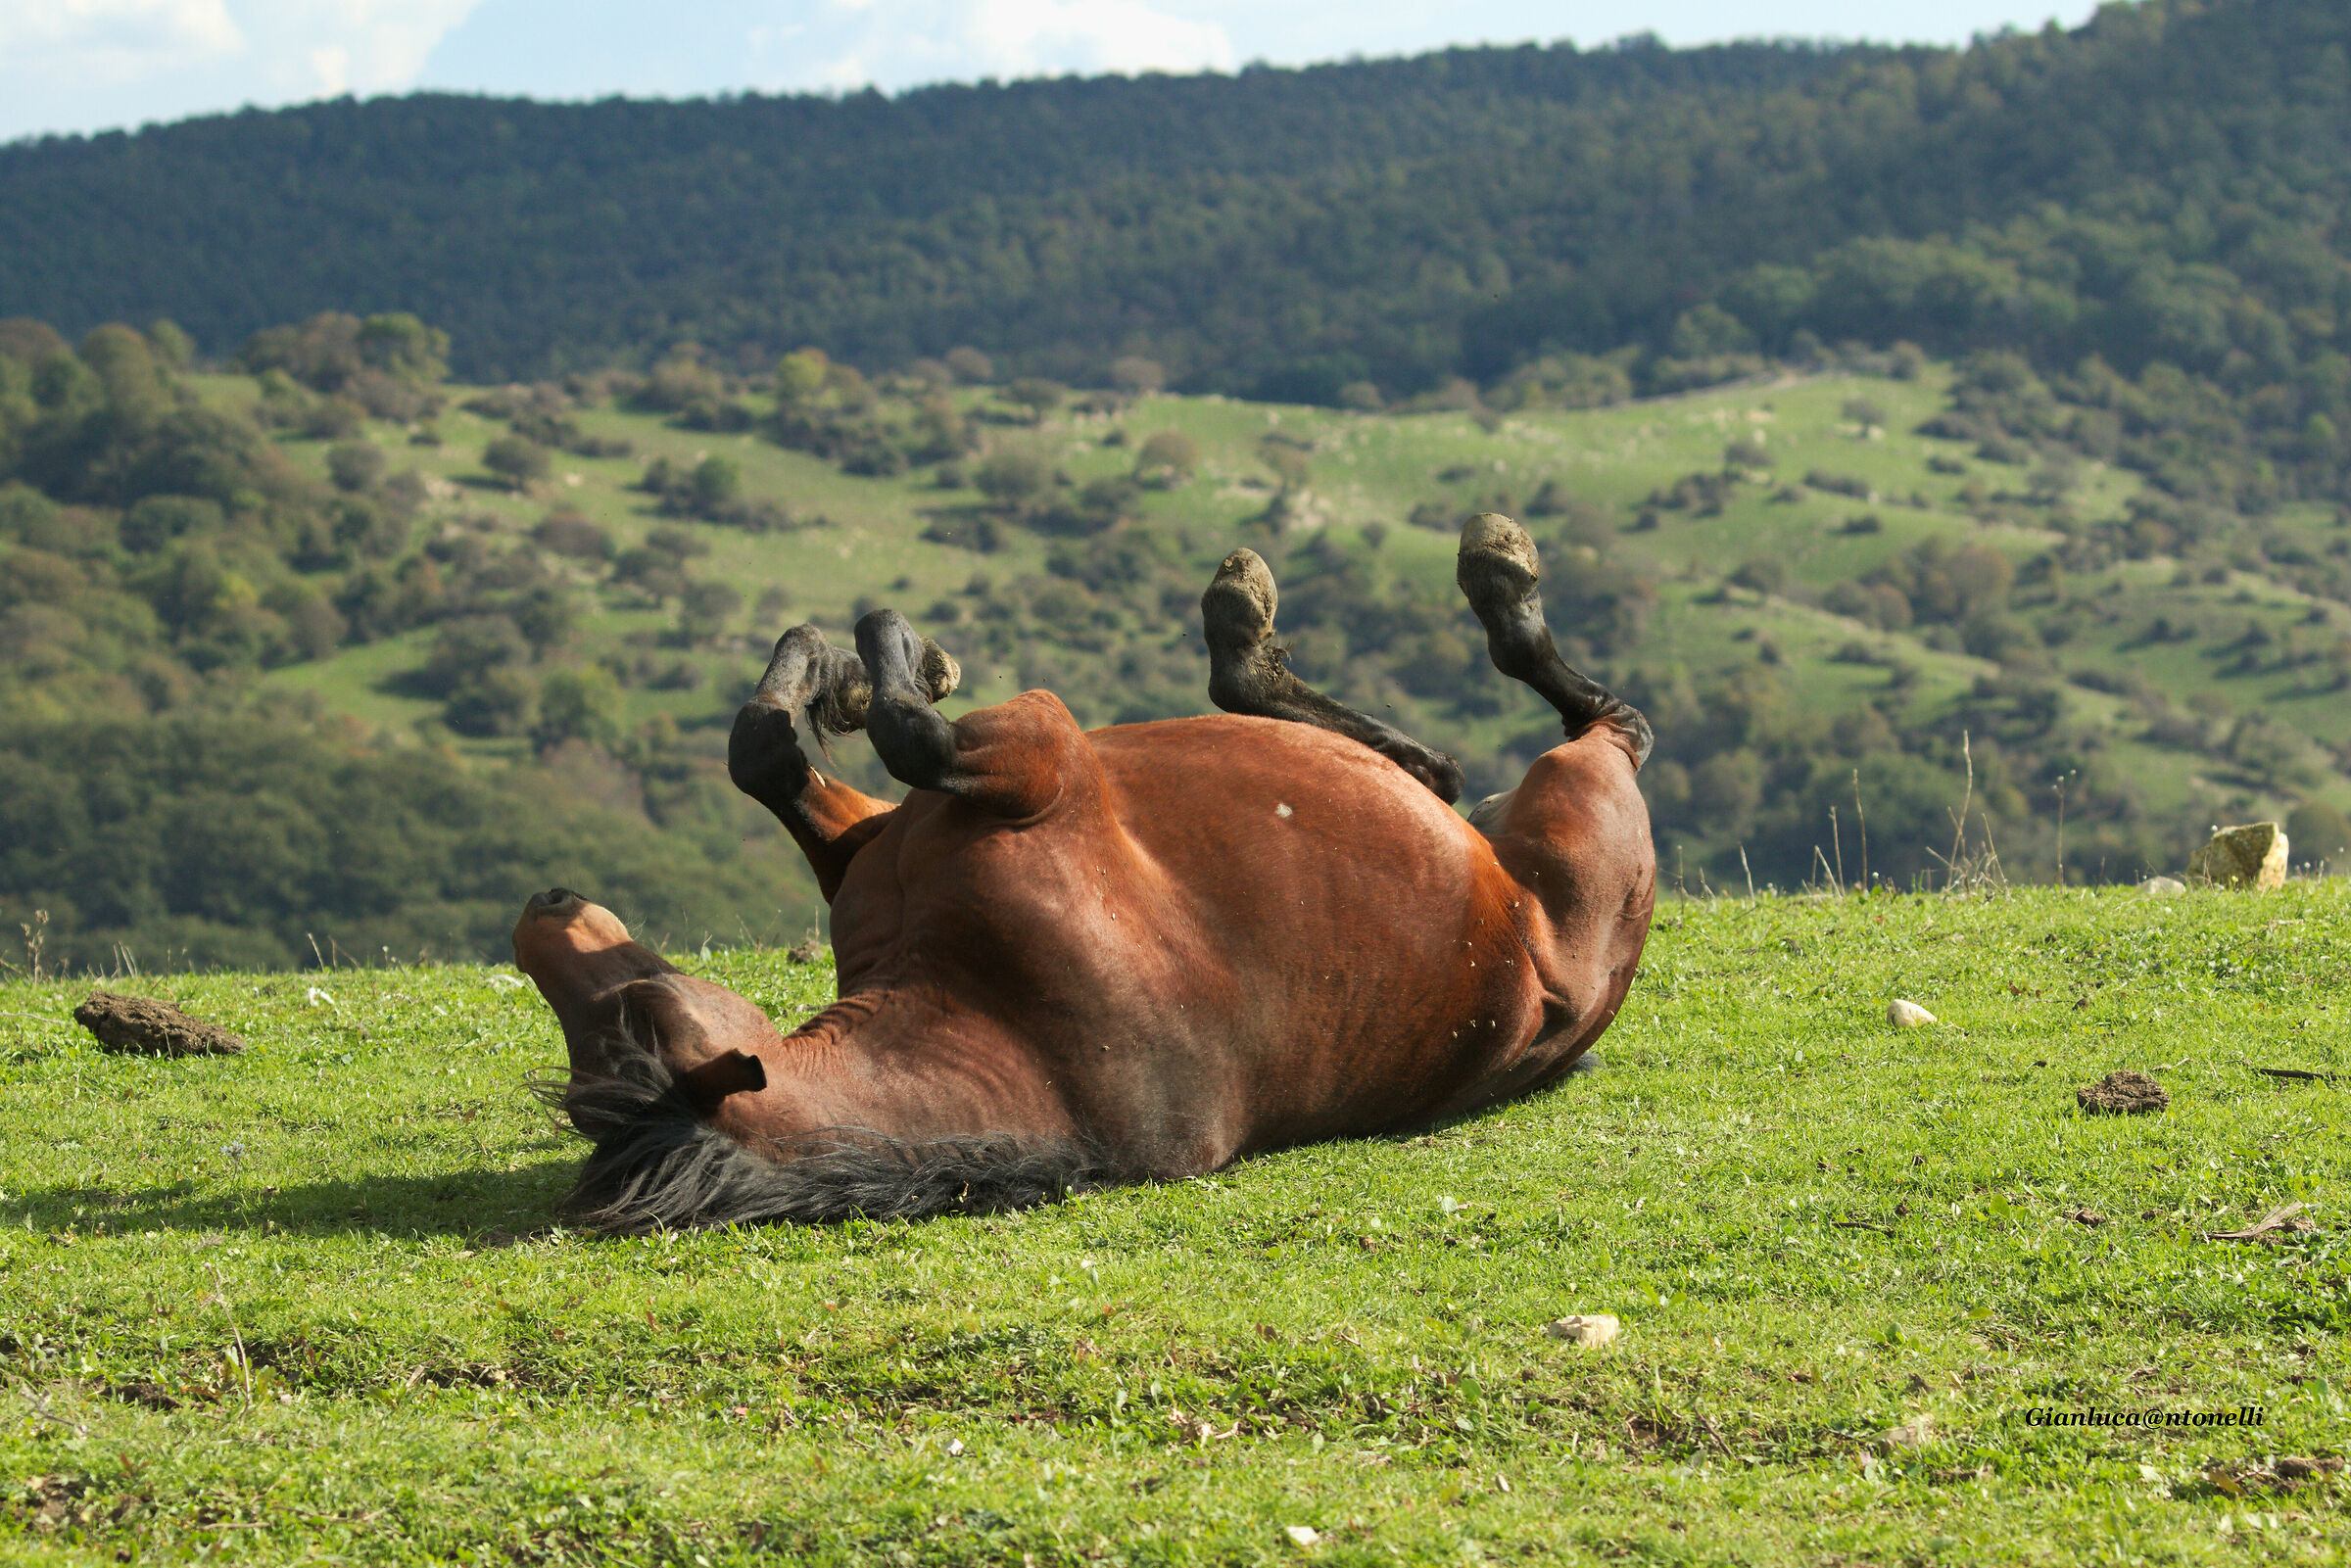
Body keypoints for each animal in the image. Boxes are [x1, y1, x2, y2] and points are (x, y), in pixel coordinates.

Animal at [513, 512, 1656, 1230]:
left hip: (1575, 801)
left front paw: (859, 662)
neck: (998, 1008)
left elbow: (825, 734)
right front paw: (862, 663)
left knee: (1591, 722)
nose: (541, 908)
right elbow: (836, 737)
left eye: (637, 1003)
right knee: (1541, 739)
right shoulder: (991, 778)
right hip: (1573, 805)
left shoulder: (1027, 756)